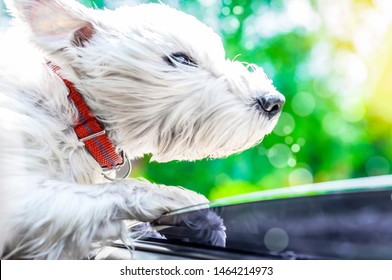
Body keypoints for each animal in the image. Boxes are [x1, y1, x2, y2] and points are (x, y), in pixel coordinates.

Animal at [0, 0, 284, 258]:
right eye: (181, 59)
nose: (274, 101)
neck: (76, 114)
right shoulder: (23, 198)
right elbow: (122, 188)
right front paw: (186, 203)